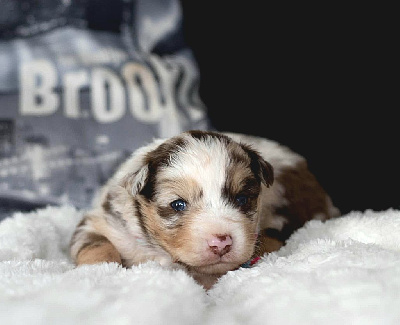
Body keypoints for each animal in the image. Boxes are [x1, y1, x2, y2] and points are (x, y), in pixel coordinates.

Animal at [70, 130, 340, 288]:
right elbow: (96, 245)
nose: (221, 242)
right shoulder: (101, 222)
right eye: (178, 204)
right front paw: (100, 272)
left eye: (242, 199)